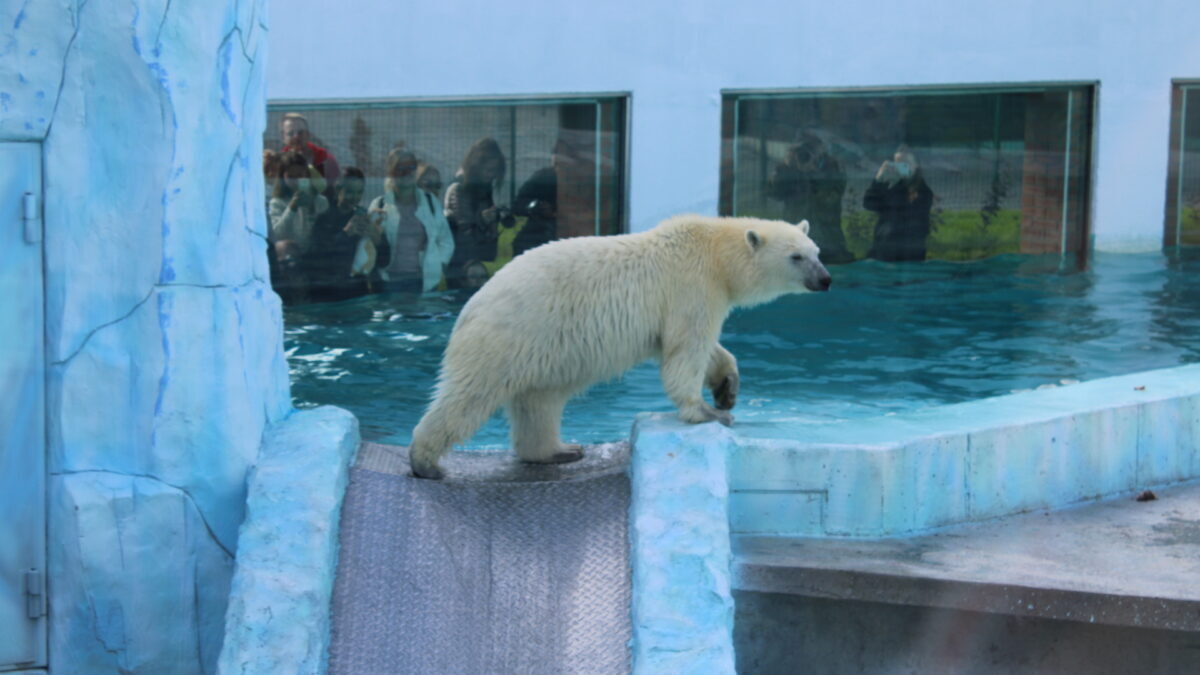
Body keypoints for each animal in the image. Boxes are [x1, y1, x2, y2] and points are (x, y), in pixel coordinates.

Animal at [408, 212, 830, 475]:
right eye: (796, 257)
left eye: (817, 252)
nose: (825, 280)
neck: (714, 251)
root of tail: (470, 307)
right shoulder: (691, 286)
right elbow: (686, 349)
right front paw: (708, 411)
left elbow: (698, 347)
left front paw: (727, 387)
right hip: (510, 335)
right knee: (470, 395)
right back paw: (425, 462)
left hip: (542, 351)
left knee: (539, 401)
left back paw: (558, 451)